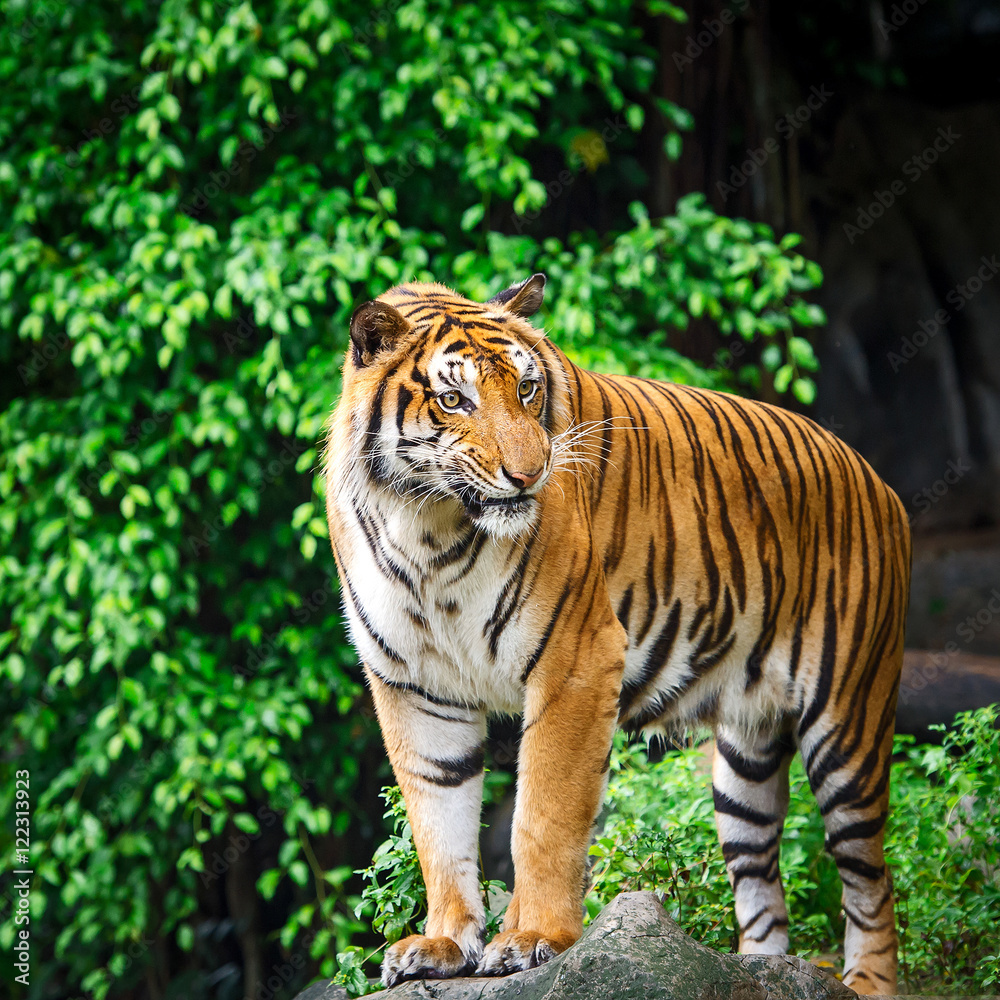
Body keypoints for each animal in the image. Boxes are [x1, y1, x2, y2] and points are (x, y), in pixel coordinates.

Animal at [323, 273, 911, 994]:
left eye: (527, 389)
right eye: (454, 399)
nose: (531, 473)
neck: (428, 526)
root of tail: (878, 480)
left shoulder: (575, 660)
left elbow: (541, 816)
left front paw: (532, 938)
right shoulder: (414, 686)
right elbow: (438, 825)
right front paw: (443, 944)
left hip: (847, 726)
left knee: (871, 878)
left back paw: (866, 982)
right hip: (744, 761)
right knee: (760, 877)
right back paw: (756, 971)